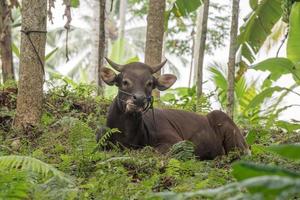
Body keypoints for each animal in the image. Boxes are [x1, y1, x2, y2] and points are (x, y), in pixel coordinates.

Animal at [99, 57, 250, 159]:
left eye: (149, 83)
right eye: (125, 82)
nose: (139, 99)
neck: (127, 135)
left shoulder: (175, 141)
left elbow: (150, 150)